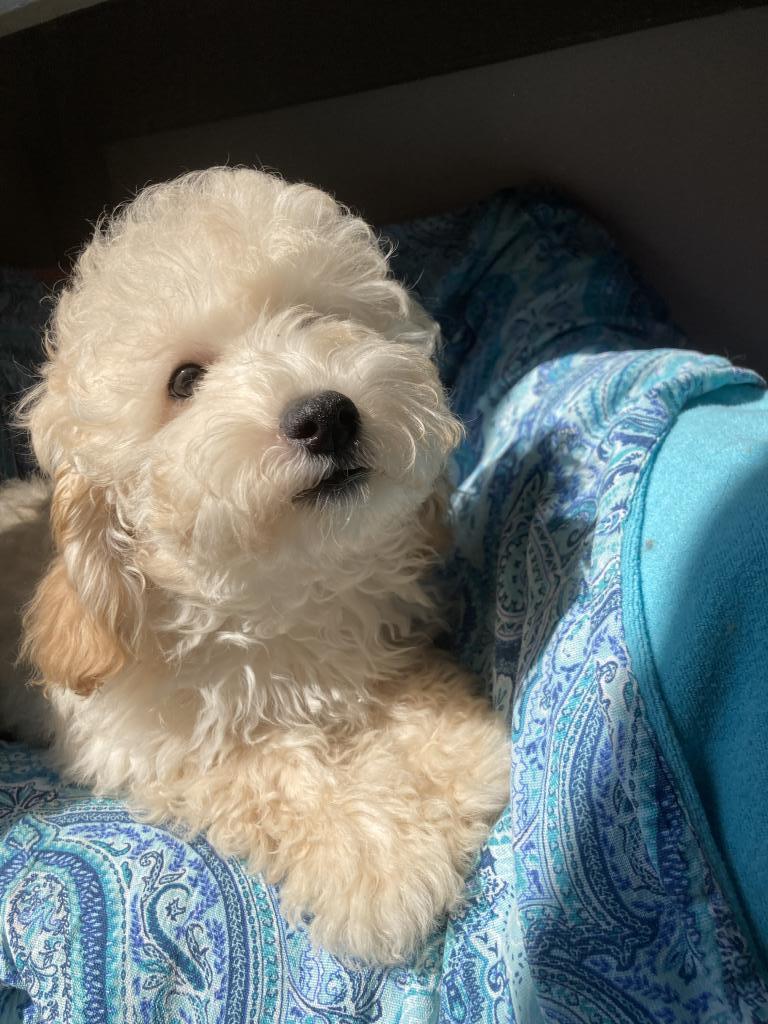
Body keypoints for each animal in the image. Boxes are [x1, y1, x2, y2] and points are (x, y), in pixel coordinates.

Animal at [0, 167, 509, 963]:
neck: (278, 595)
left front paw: (447, 749)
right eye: (184, 381)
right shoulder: (145, 744)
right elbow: (269, 771)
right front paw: (378, 856)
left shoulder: (380, 639)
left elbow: (403, 686)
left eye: (316, 317)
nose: (326, 415)